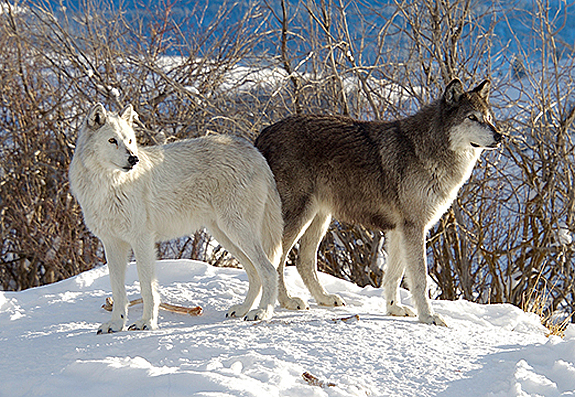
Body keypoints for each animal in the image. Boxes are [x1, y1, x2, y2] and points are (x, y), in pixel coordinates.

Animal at [70, 103, 284, 332]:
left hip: (237, 231)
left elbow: (147, 288)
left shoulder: (142, 240)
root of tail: (255, 152)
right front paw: (116, 324)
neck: (109, 186)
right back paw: (243, 309)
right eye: (112, 141)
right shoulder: (112, 244)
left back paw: (262, 312)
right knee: (254, 272)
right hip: (225, 234)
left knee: (269, 270)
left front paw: (147, 322)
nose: (133, 159)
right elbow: (117, 291)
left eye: (129, 141)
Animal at [254, 78, 502, 324]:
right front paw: (428, 316)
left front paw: (395, 309)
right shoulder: (414, 227)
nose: (500, 136)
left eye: (489, 117)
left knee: (303, 261)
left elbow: (394, 276)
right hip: (299, 217)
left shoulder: (399, 230)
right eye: (472, 117)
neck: (426, 149)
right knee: (277, 260)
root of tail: (264, 133)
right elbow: (420, 280)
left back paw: (324, 298)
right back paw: (285, 302)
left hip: (320, 218)